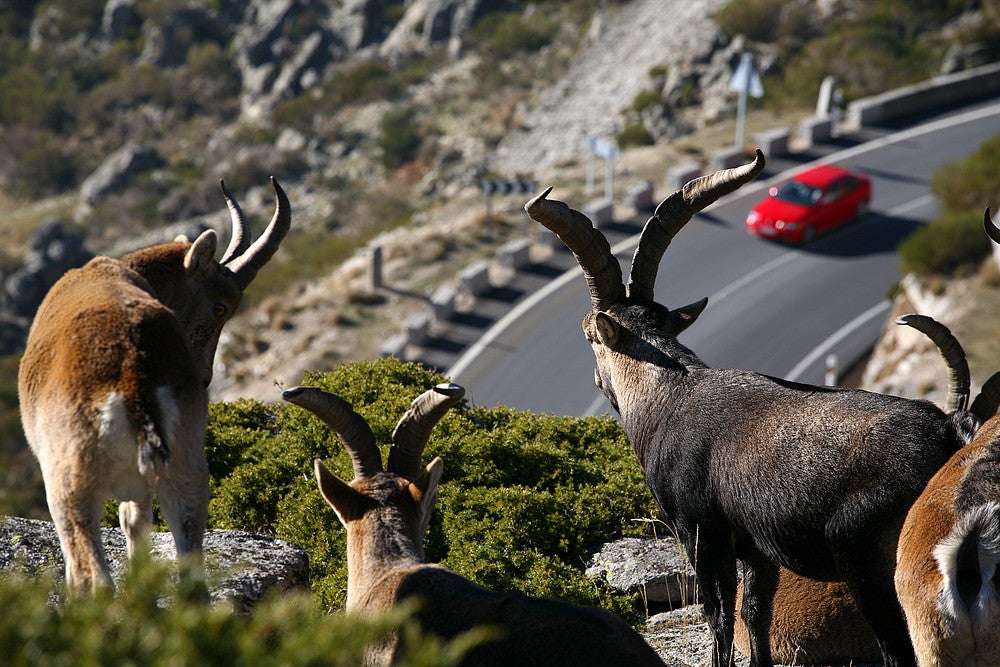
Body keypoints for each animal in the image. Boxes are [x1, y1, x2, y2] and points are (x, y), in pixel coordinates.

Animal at [18, 178, 291, 592]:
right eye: (220, 306)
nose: (205, 377)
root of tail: (134, 375)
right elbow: (136, 522)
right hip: (188, 470)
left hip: (70, 481)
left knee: (90, 574)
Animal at [524, 150, 971, 667]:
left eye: (589, 336)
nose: (598, 382)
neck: (666, 395)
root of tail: (948, 437)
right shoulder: (757, 548)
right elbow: (755, 610)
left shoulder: (701, 534)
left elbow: (717, 615)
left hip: (870, 563)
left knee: (899, 646)